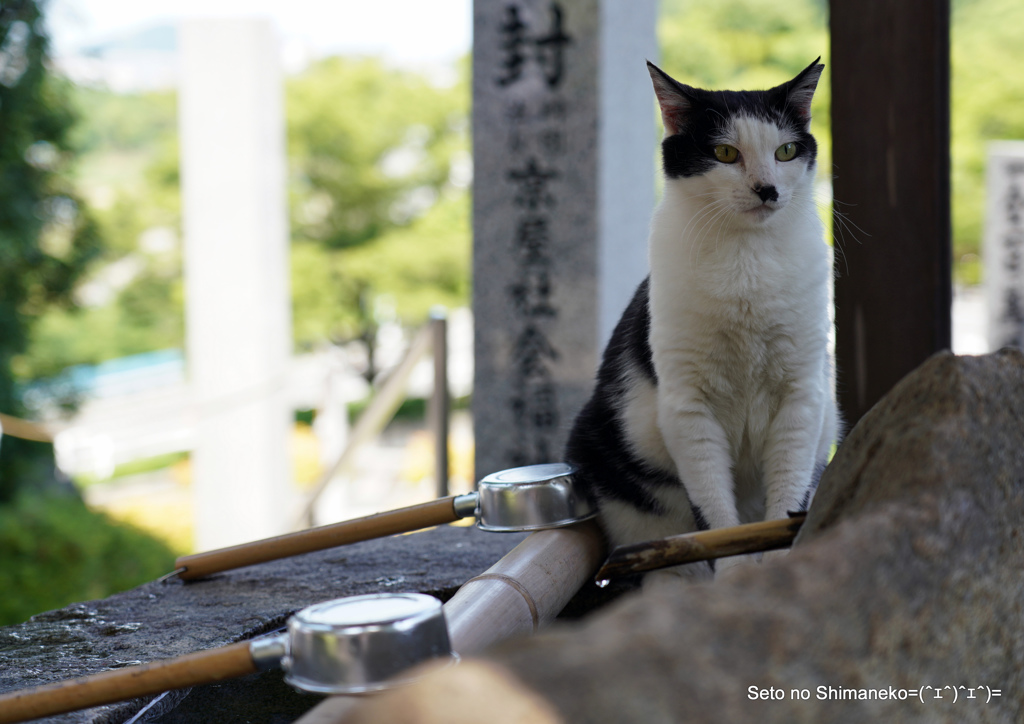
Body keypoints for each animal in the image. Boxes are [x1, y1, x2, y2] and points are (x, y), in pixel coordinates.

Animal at [569, 60, 839, 581]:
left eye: (786, 150)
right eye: (725, 153)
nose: (767, 189)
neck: (747, 260)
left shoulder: (803, 396)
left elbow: (788, 494)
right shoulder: (687, 408)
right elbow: (715, 516)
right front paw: (734, 579)